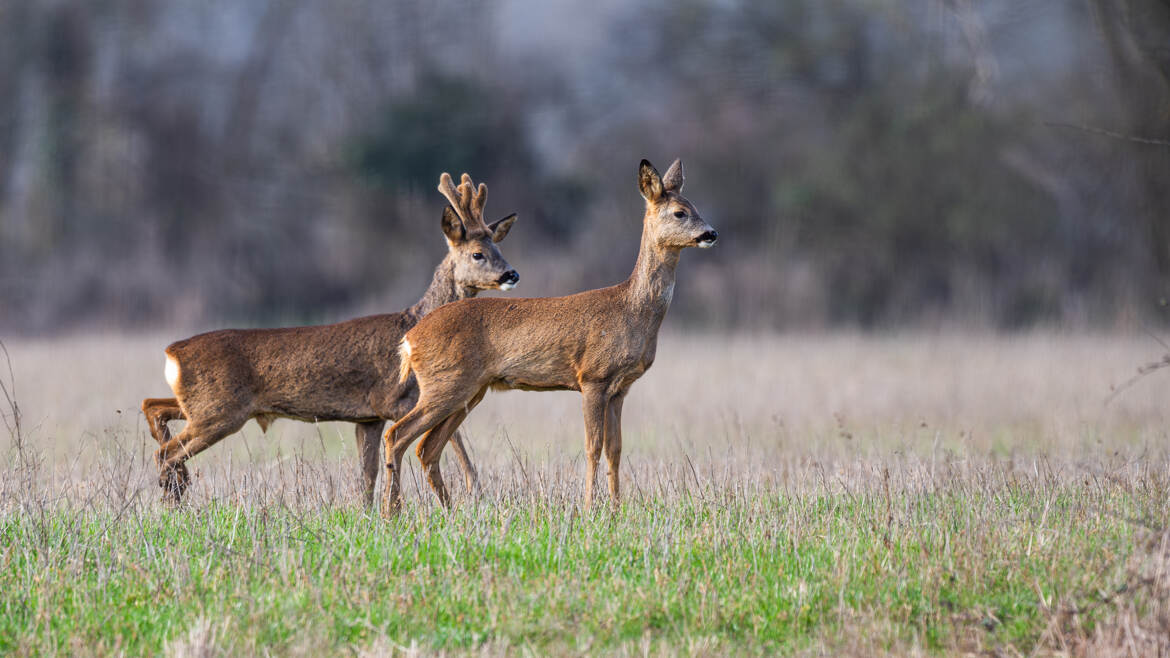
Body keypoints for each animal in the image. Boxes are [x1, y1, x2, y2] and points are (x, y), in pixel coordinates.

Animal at [141, 173, 517, 501]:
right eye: (478, 254)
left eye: (499, 250)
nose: (511, 274)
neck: (413, 321)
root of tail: (171, 352)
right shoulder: (395, 398)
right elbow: (452, 441)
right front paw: (474, 492)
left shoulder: (368, 416)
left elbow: (367, 476)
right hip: (218, 410)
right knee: (167, 452)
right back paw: (174, 503)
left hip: (201, 405)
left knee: (154, 408)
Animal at [383, 159, 711, 512]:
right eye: (680, 212)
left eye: (695, 206)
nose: (711, 233)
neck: (631, 309)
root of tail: (409, 340)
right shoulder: (592, 377)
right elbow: (592, 447)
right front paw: (589, 507)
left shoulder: (620, 389)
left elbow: (616, 449)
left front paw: (616, 508)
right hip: (445, 384)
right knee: (397, 436)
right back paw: (392, 512)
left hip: (468, 391)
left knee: (426, 448)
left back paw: (444, 511)